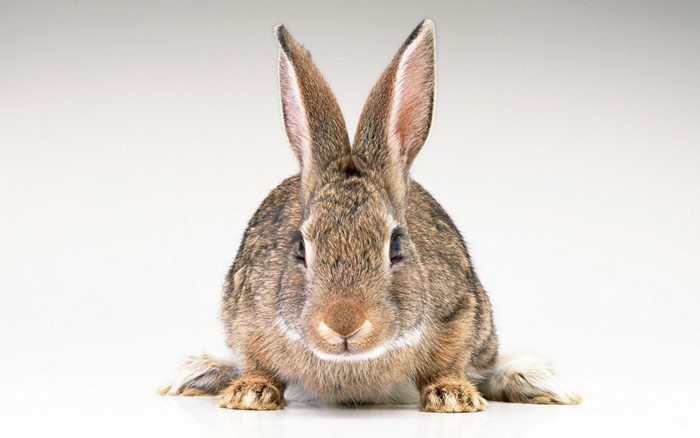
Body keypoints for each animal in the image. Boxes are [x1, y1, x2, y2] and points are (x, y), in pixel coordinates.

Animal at [160, 19, 580, 412]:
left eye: (395, 246)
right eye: (300, 248)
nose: (344, 324)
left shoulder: (460, 313)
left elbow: (449, 362)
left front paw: (452, 397)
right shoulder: (247, 317)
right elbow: (257, 361)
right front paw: (250, 394)